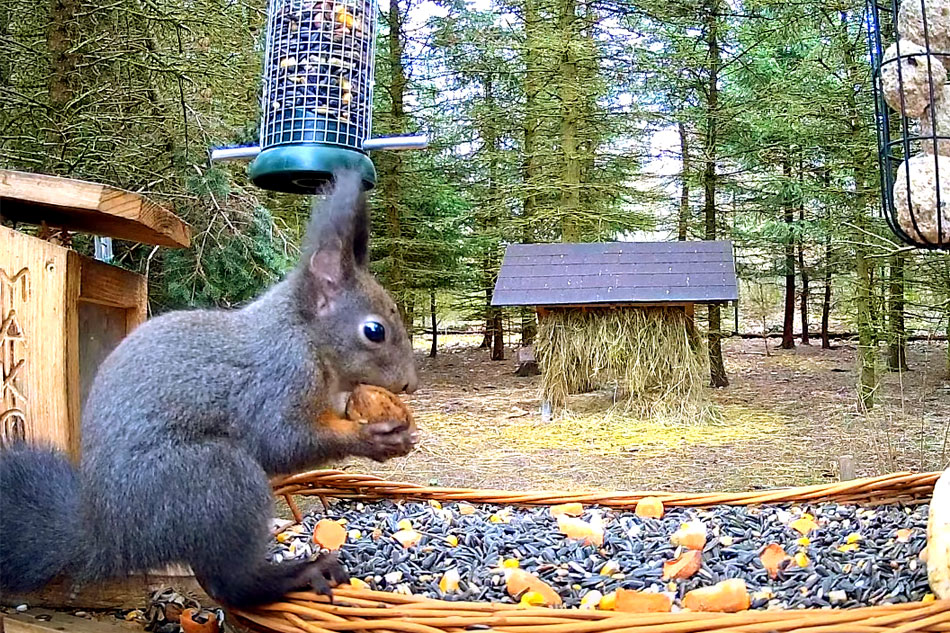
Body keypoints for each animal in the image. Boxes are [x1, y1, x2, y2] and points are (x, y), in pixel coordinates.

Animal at [0, 169, 420, 608]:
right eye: (374, 331)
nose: (411, 382)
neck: (306, 338)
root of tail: (111, 535)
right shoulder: (276, 379)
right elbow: (282, 440)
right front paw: (373, 437)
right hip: (214, 481)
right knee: (232, 583)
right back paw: (299, 574)